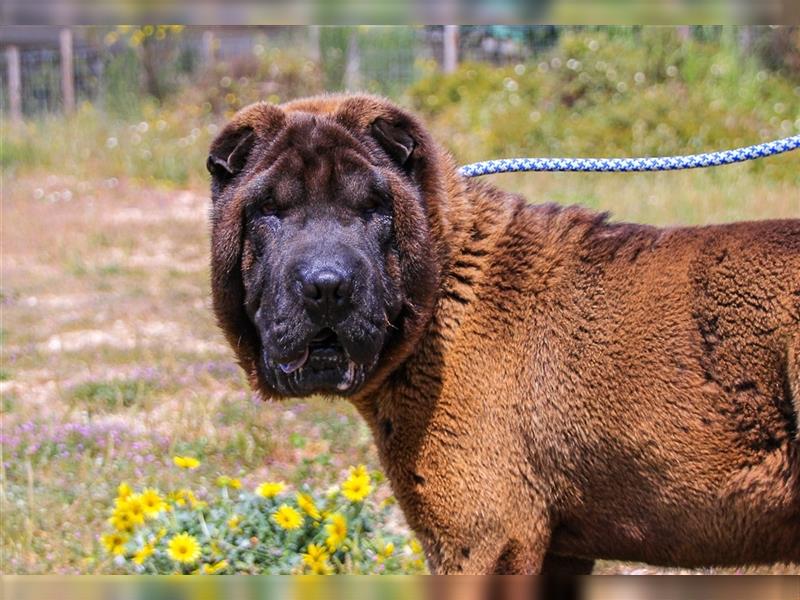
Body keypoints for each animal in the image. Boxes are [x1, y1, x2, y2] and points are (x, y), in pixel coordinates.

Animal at [208, 92, 800, 572]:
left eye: (375, 208)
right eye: (269, 209)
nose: (327, 285)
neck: (445, 282)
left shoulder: (485, 539)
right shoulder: (558, 548)